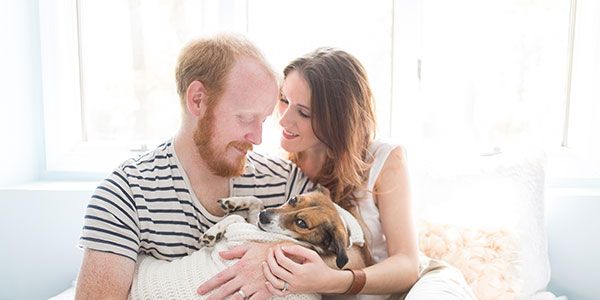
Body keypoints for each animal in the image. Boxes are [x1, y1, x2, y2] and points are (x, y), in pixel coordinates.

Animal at [199, 186, 368, 268]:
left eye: (301, 223)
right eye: (293, 199)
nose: (263, 216)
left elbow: (238, 217)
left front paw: (212, 234)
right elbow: (256, 200)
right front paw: (231, 202)